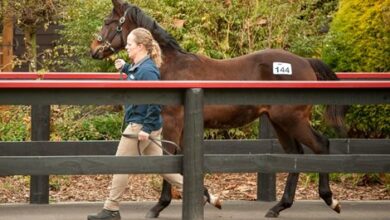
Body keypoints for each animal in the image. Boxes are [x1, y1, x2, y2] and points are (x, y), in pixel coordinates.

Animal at [90, 0, 342, 217]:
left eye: (107, 21)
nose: (94, 49)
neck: (168, 66)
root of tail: (306, 62)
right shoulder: (183, 127)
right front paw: (210, 198)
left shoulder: (172, 123)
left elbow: (169, 158)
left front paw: (158, 207)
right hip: (279, 122)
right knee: (295, 155)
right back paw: (279, 207)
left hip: (292, 120)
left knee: (321, 145)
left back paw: (330, 199)